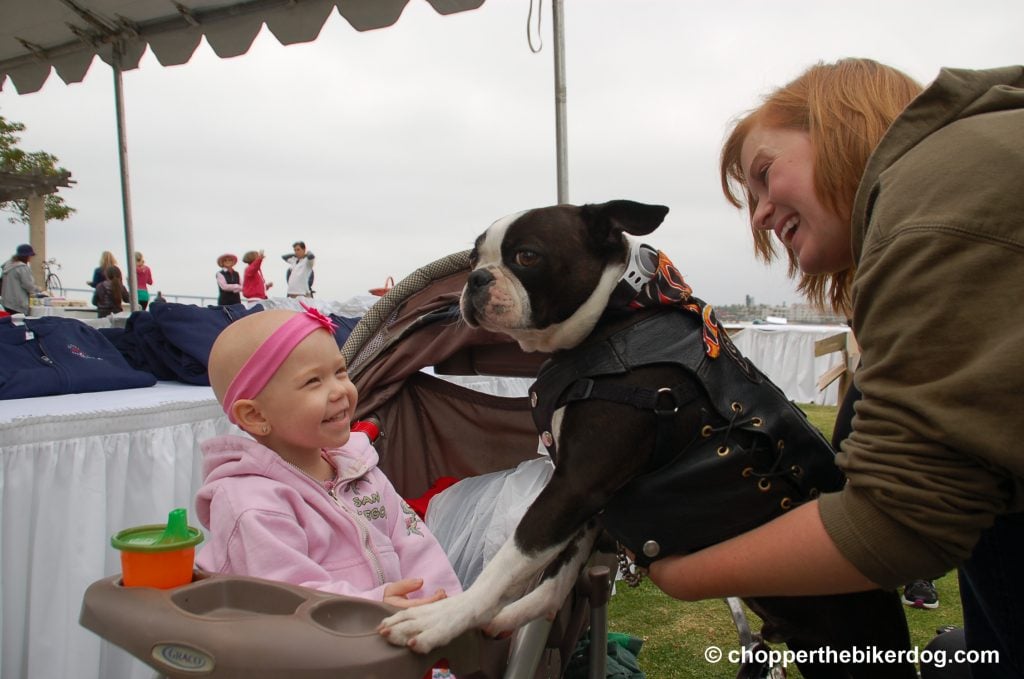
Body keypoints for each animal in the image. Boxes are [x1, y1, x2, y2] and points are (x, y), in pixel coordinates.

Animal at [382, 201, 913, 679]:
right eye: (475, 257)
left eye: (527, 256)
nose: (474, 280)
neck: (613, 318)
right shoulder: (592, 500)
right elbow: (555, 575)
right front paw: (497, 615)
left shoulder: (576, 486)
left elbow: (512, 557)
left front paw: (441, 620)